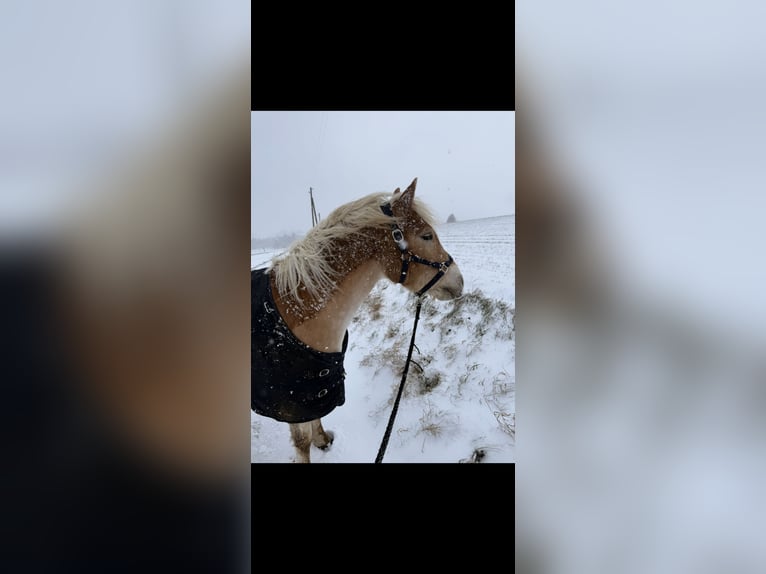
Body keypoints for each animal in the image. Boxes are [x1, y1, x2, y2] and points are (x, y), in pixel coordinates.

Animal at [251, 178, 464, 462]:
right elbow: (302, 442)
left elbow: (316, 419)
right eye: (427, 236)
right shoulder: (292, 401)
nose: (459, 281)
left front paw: (323, 440)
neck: (295, 308)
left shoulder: (312, 393)